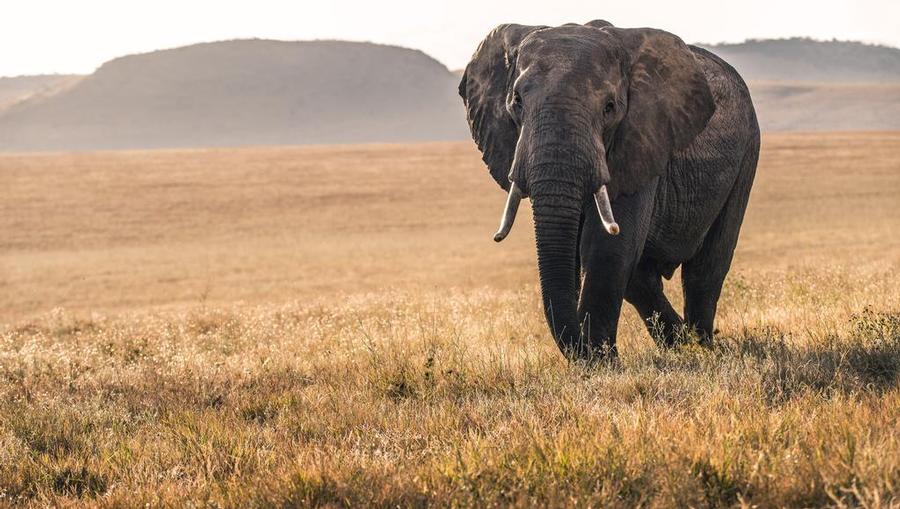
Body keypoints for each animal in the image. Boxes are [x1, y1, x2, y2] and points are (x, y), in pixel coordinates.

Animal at [458, 20, 760, 361]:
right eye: (516, 102)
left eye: (610, 107)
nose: (584, 351)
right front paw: (598, 358)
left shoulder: (641, 139)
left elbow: (606, 248)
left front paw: (602, 362)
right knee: (643, 279)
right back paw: (680, 345)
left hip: (748, 152)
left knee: (706, 268)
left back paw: (702, 348)